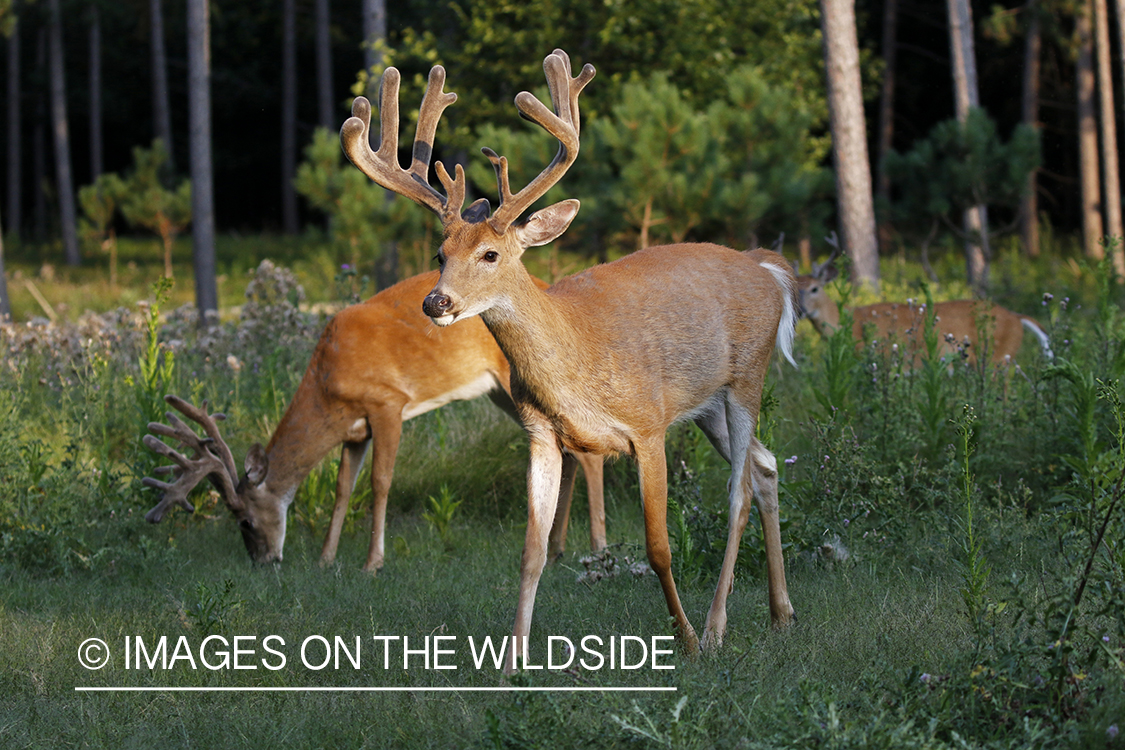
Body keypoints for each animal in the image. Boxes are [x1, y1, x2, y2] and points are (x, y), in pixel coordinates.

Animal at [141, 273, 607, 571]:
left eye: (245, 521)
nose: (263, 561)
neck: (328, 381)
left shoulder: (388, 403)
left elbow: (380, 483)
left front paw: (373, 562)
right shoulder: (354, 430)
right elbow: (342, 488)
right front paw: (326, 559)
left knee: (587, 453)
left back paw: (597, 548)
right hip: (503, 392)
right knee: (567, 451)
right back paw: (557, 547)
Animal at [342, 48, 801, 670]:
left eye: (490, 254)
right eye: (440, 253)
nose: (436, 302)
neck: (576, 361)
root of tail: (766, 267)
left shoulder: (648, 425)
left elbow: (659, 546)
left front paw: (682, 638)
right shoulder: (540, 433)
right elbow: (531, 552)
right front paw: (512, 659)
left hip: (747, 376)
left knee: (738, 494)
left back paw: (714, 628)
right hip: (707, 405)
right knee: (766, 466)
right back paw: (781, 613)